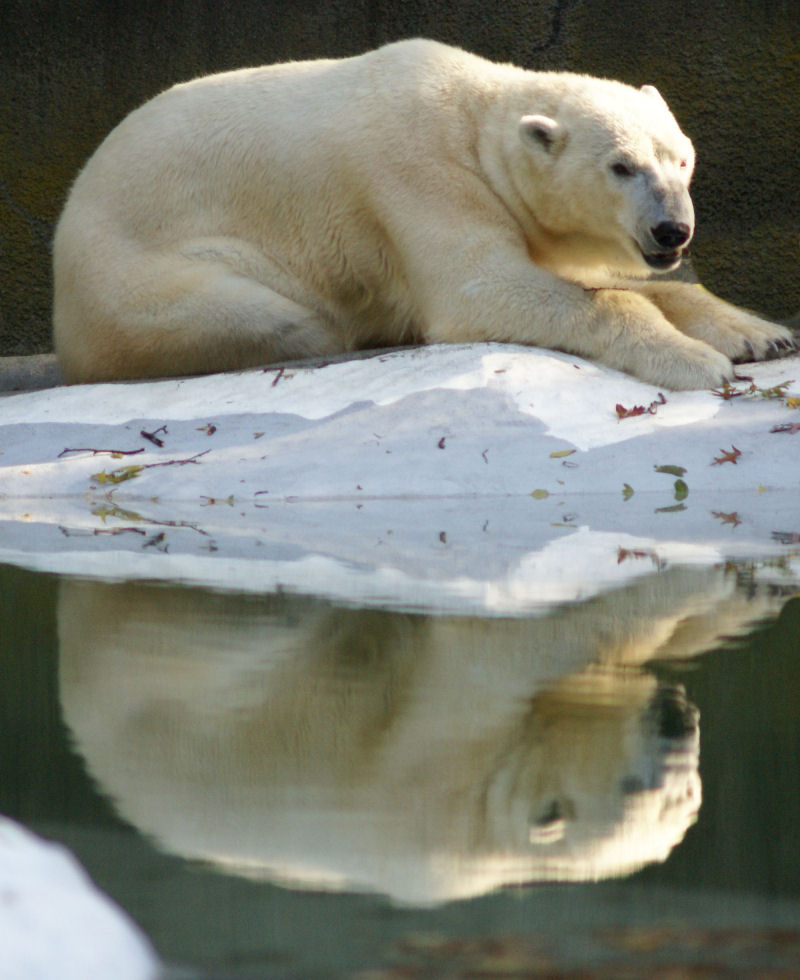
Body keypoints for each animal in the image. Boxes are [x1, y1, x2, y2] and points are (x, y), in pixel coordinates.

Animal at [53, 38, 796, 389]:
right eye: (622, 166)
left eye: (681, 159)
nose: (672, 229)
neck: (473, 118)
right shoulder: (419, 175)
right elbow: (482, 288)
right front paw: (698, 360)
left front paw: (759, 333)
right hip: (148, 286)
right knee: (287, 318)